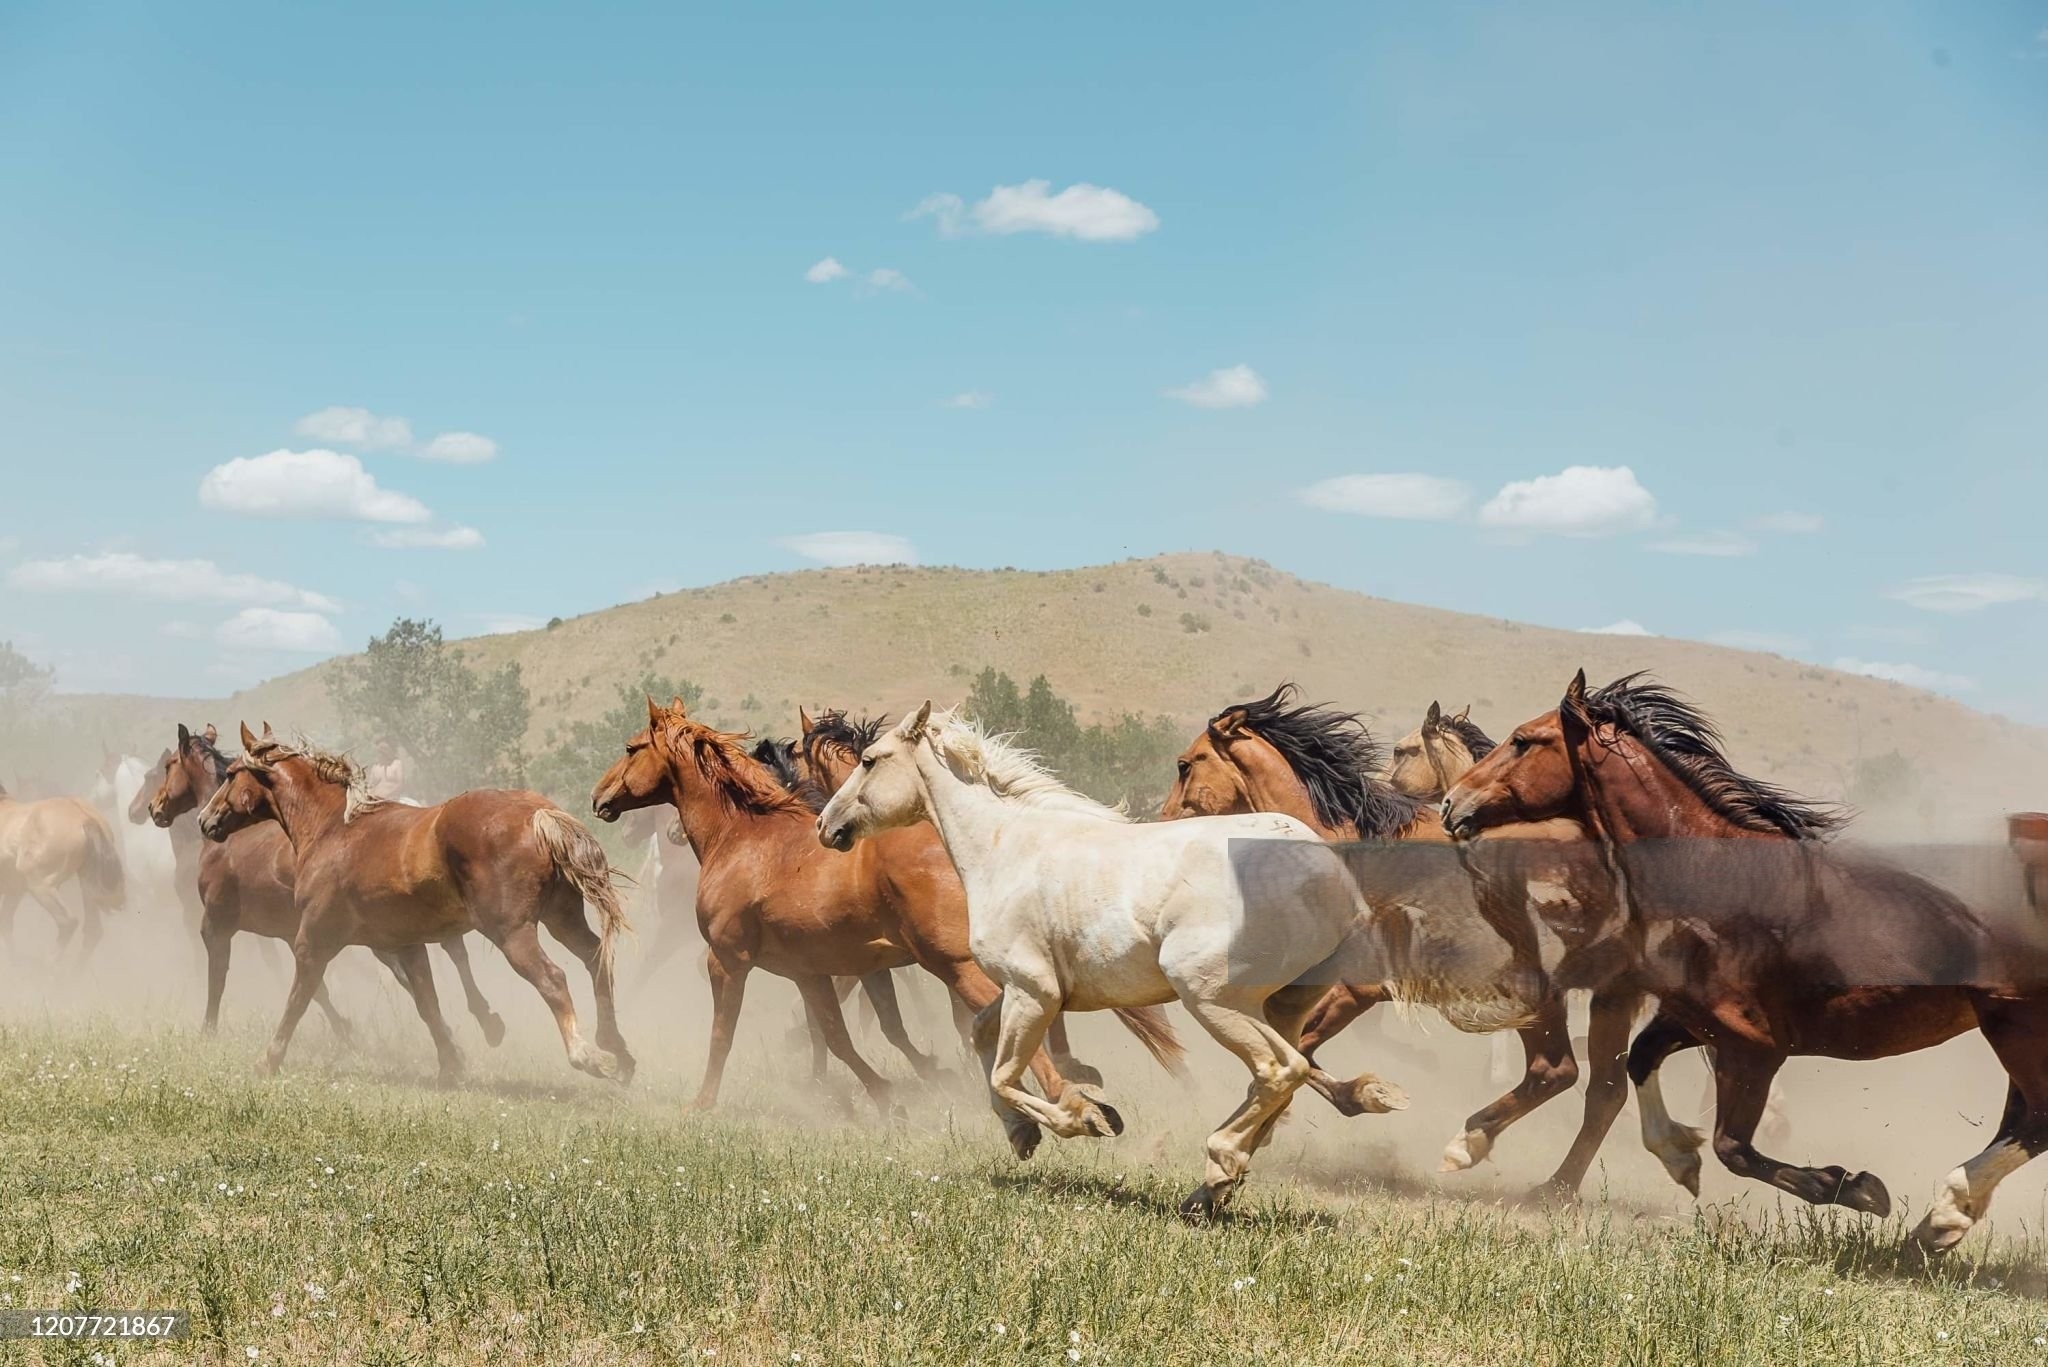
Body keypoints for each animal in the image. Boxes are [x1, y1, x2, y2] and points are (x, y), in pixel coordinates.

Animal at [0, 776, 125, 961]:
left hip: (41, 886)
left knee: (68, 922)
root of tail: (85, 819)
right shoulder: (14, 891)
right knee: (92, 931)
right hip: (87, 886)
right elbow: (6, 924)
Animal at [149, 724, 508, 1044]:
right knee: (445, 955)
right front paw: (345, 1029)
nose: (155, 808)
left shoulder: (216, 923)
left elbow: (218, 977)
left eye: (168, 765)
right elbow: (318, 988)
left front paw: (208, 1030)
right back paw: (479, 1021)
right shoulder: (293, 933)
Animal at [198, 724, 629, 1084]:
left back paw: (588, 1056)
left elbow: (298, 1000)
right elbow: (427, 1002)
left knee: (553, 979)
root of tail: (539, 813)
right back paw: (619, 1051)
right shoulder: (406, 945)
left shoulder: (313, 941)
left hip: (513, 932)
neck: (333, 829)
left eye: (231, 773)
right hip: (562, 918)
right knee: (597, 960)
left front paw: (268, 1060)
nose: (205, 820)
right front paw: (451, 1063)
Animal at [816, 703, 1401, 1219]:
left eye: (869, 759)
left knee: (1281, 1069)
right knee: (1286, 1073)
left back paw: (1217, 1168)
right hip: (1282, 1004)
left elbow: (1006, 1074)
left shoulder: (1033, 991)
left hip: (1211, 997)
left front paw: (1088, 1116)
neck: (1006, 848)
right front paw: (1021, 1132)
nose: (826, 826)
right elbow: (982, 1037)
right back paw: (1215, 1187)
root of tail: (1328, 871)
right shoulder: (1028, 990)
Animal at [1444, 671, 2048, 1252]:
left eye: (1524, 741)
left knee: (2037, 1120)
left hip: (2016, 1028)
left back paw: (1942, 1215)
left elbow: (1733, 1148)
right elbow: (1640, 1063)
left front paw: (1853, 1186)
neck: (1714, 873)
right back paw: (1940, 1224)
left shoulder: (1753, 1048)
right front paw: (1678, 1156)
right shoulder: (1695, 1022)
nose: (1451, 804)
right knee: (2023, 1121)